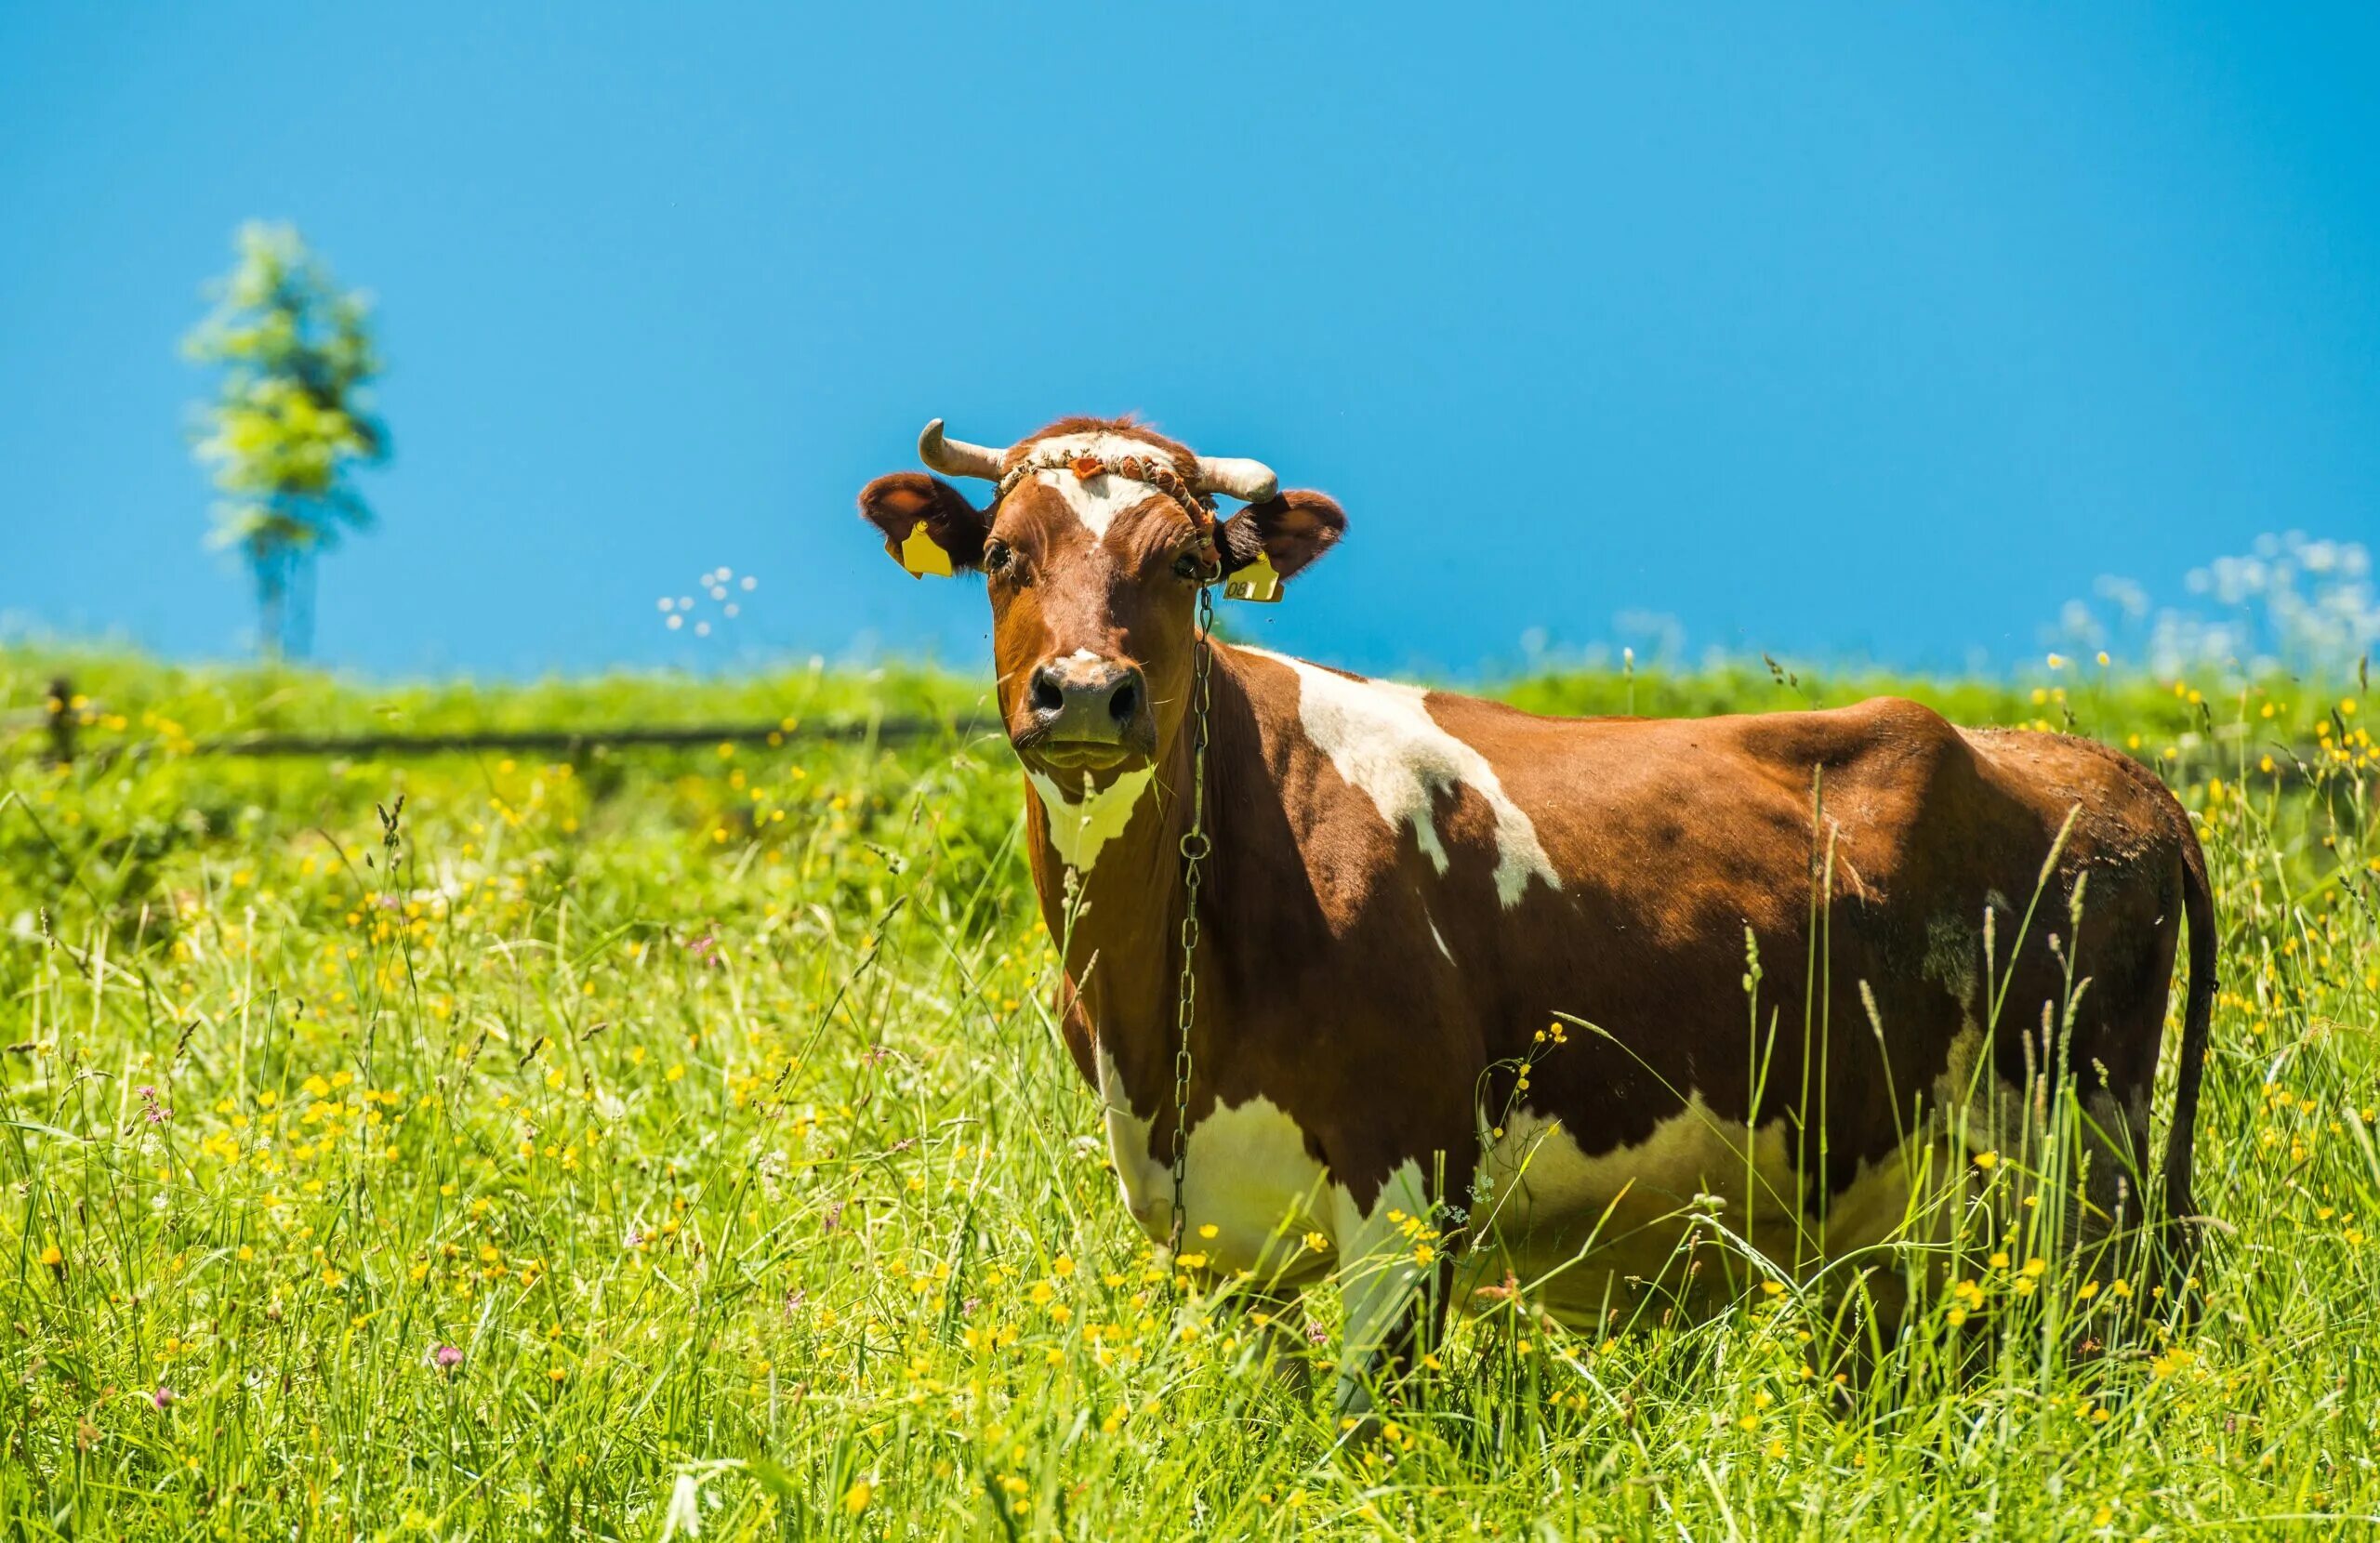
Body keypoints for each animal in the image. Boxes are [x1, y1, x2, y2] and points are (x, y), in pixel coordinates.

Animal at [856, 412, 2208, 1418]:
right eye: (1003, 556)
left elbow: (1365, 1427)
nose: (1087, 691)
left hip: (2085, 1154)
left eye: (1187, 563)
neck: (1166, 1005)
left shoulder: (1409, 1178)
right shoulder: (1200, 1219)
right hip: (1903, 1215)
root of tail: (2096, 768)